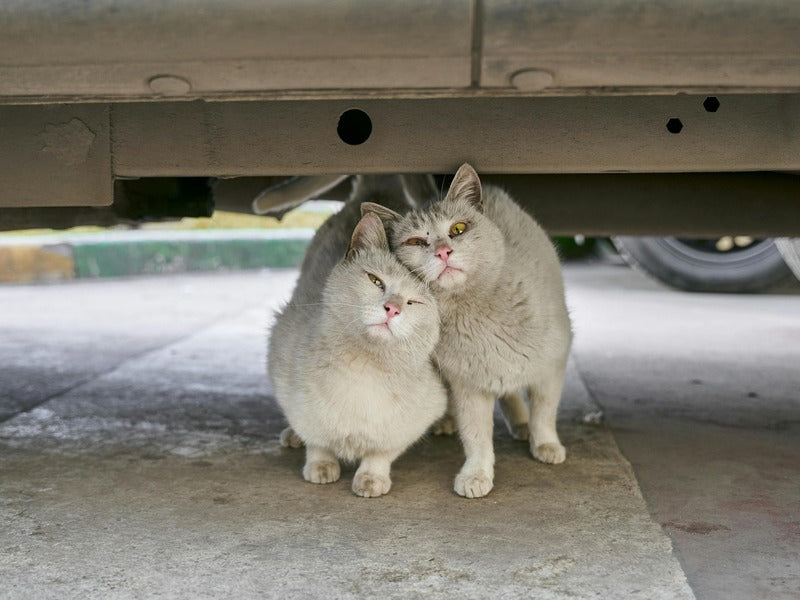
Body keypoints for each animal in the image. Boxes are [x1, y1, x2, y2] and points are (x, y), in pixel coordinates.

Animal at [266, 178, 446, 496]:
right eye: (376, 281)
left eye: (414, 302)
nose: (392, 309)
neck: (365, 369)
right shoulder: (283, 369)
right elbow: (317, 439)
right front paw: (321, 465)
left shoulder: (412, 420)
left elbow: (380, 452)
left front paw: (371, 478)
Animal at [366, 164, 572, 496]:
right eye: (415, 242)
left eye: (458, 229)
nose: (443, 252)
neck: (475, 312)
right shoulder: (468, 387)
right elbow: (476, 436)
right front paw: (477, 474)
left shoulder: (553, 364)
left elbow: (545, 411)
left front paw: (546, 444)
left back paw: (523, 425)